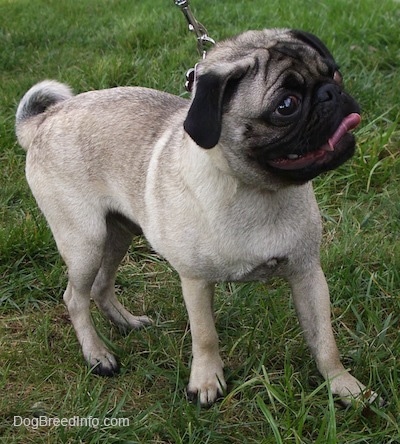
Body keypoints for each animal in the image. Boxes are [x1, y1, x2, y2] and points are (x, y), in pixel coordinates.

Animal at [15, 28, 378, 406]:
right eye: (286, 106)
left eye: (334, 73)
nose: (331, 93)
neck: (257, 191)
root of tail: (45, 119)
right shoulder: (196, 281)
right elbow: (205, 335)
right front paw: (206, 382)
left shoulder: (307, 272)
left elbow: (324, 340)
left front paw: (343, 385)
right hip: (86, 242)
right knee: (75, 298)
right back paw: (97, 355)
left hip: (118, 234)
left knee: (101, 286)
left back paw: (127, 323)